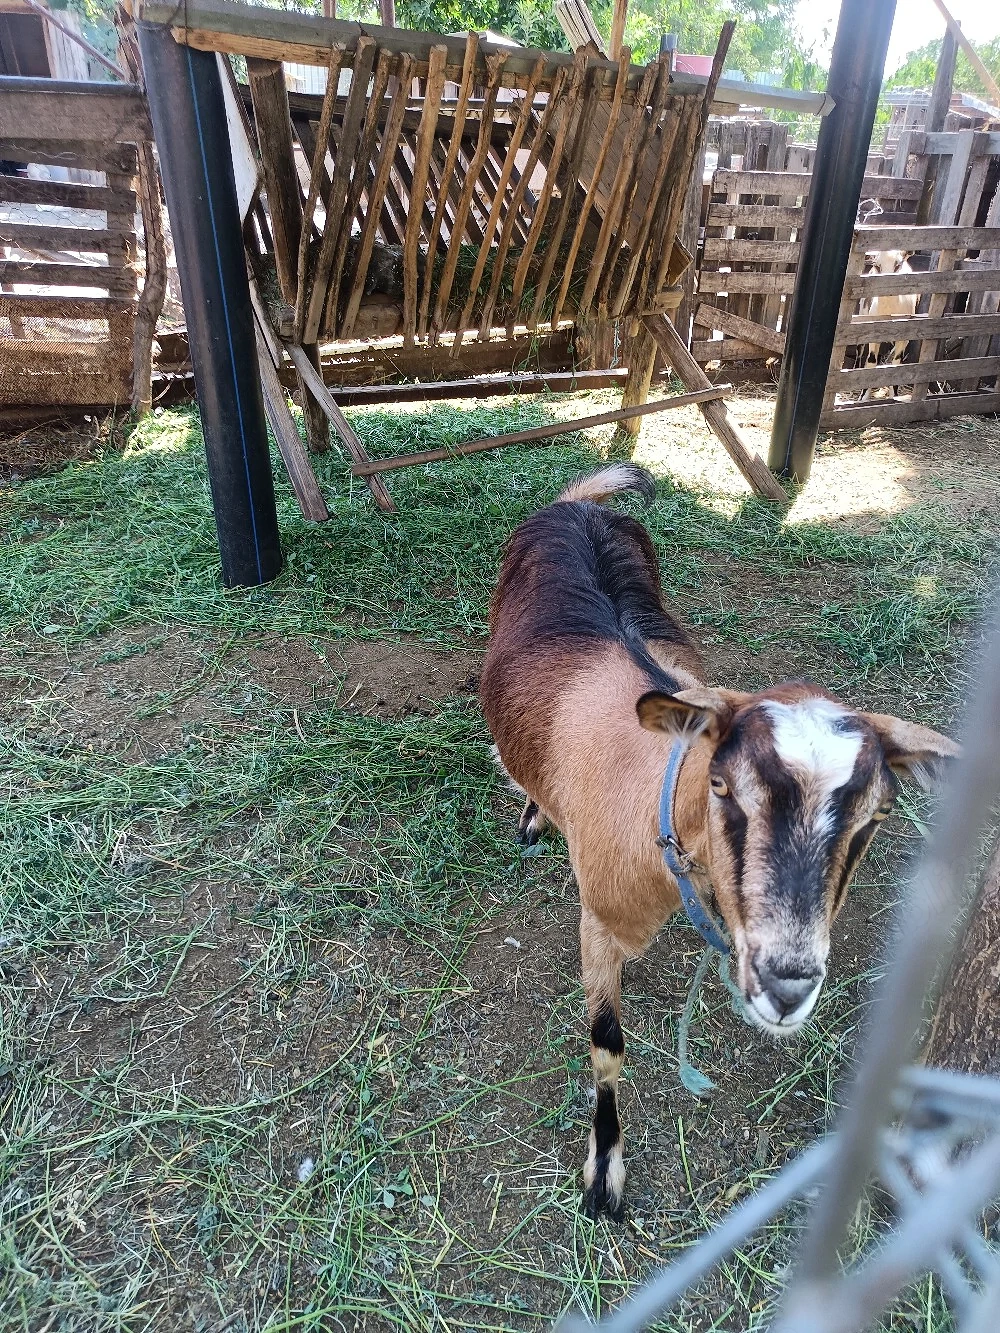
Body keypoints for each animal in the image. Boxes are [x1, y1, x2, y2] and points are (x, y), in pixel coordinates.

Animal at [479, 464, 958, 1220]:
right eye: (723, 787)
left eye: (878, 814)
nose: (788, 984)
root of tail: (576, 504)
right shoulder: (599, 918)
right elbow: (608, 1045)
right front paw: (604, 1174)